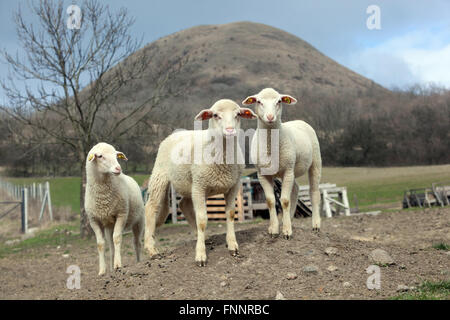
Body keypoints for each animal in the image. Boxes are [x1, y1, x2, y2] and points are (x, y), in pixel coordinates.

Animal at [85, 142, 144, 276]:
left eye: (116, 155)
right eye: (100, 156)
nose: (118, 169)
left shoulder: (121, 214)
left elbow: (117, 238)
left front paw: (118, 265)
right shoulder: (94, 220)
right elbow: (100, 244)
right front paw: (102, 270)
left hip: (139, 221)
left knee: (137, 242)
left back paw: (139, 262)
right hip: (108, 225)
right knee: (111, 246)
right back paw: (111, 267)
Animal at [144, 99, 256, 266]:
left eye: (237, 115)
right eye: (215, 115)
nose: (230, 131)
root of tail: (175, 134)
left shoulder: (233, 185)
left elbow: (230, 214)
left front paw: (232, 246)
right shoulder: (199, 186)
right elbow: (202, 220)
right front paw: (201, 255)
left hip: (188, 184)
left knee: (183, 204)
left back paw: (201, 237)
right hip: (161, 176)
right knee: (151, 208)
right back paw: (152, 250)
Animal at [244, 87, 322, 238]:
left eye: (279, 101)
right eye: (259, 102)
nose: (270, 117)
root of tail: (299, 121)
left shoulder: (287, 170)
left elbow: (285, 201)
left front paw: (286, 231)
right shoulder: (262, 174)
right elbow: (270, 201)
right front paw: (274, 229)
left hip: (314, 162)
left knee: (314, 192)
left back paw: (315, 225)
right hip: (290, 170)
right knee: (296, 188)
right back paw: (289, 219)